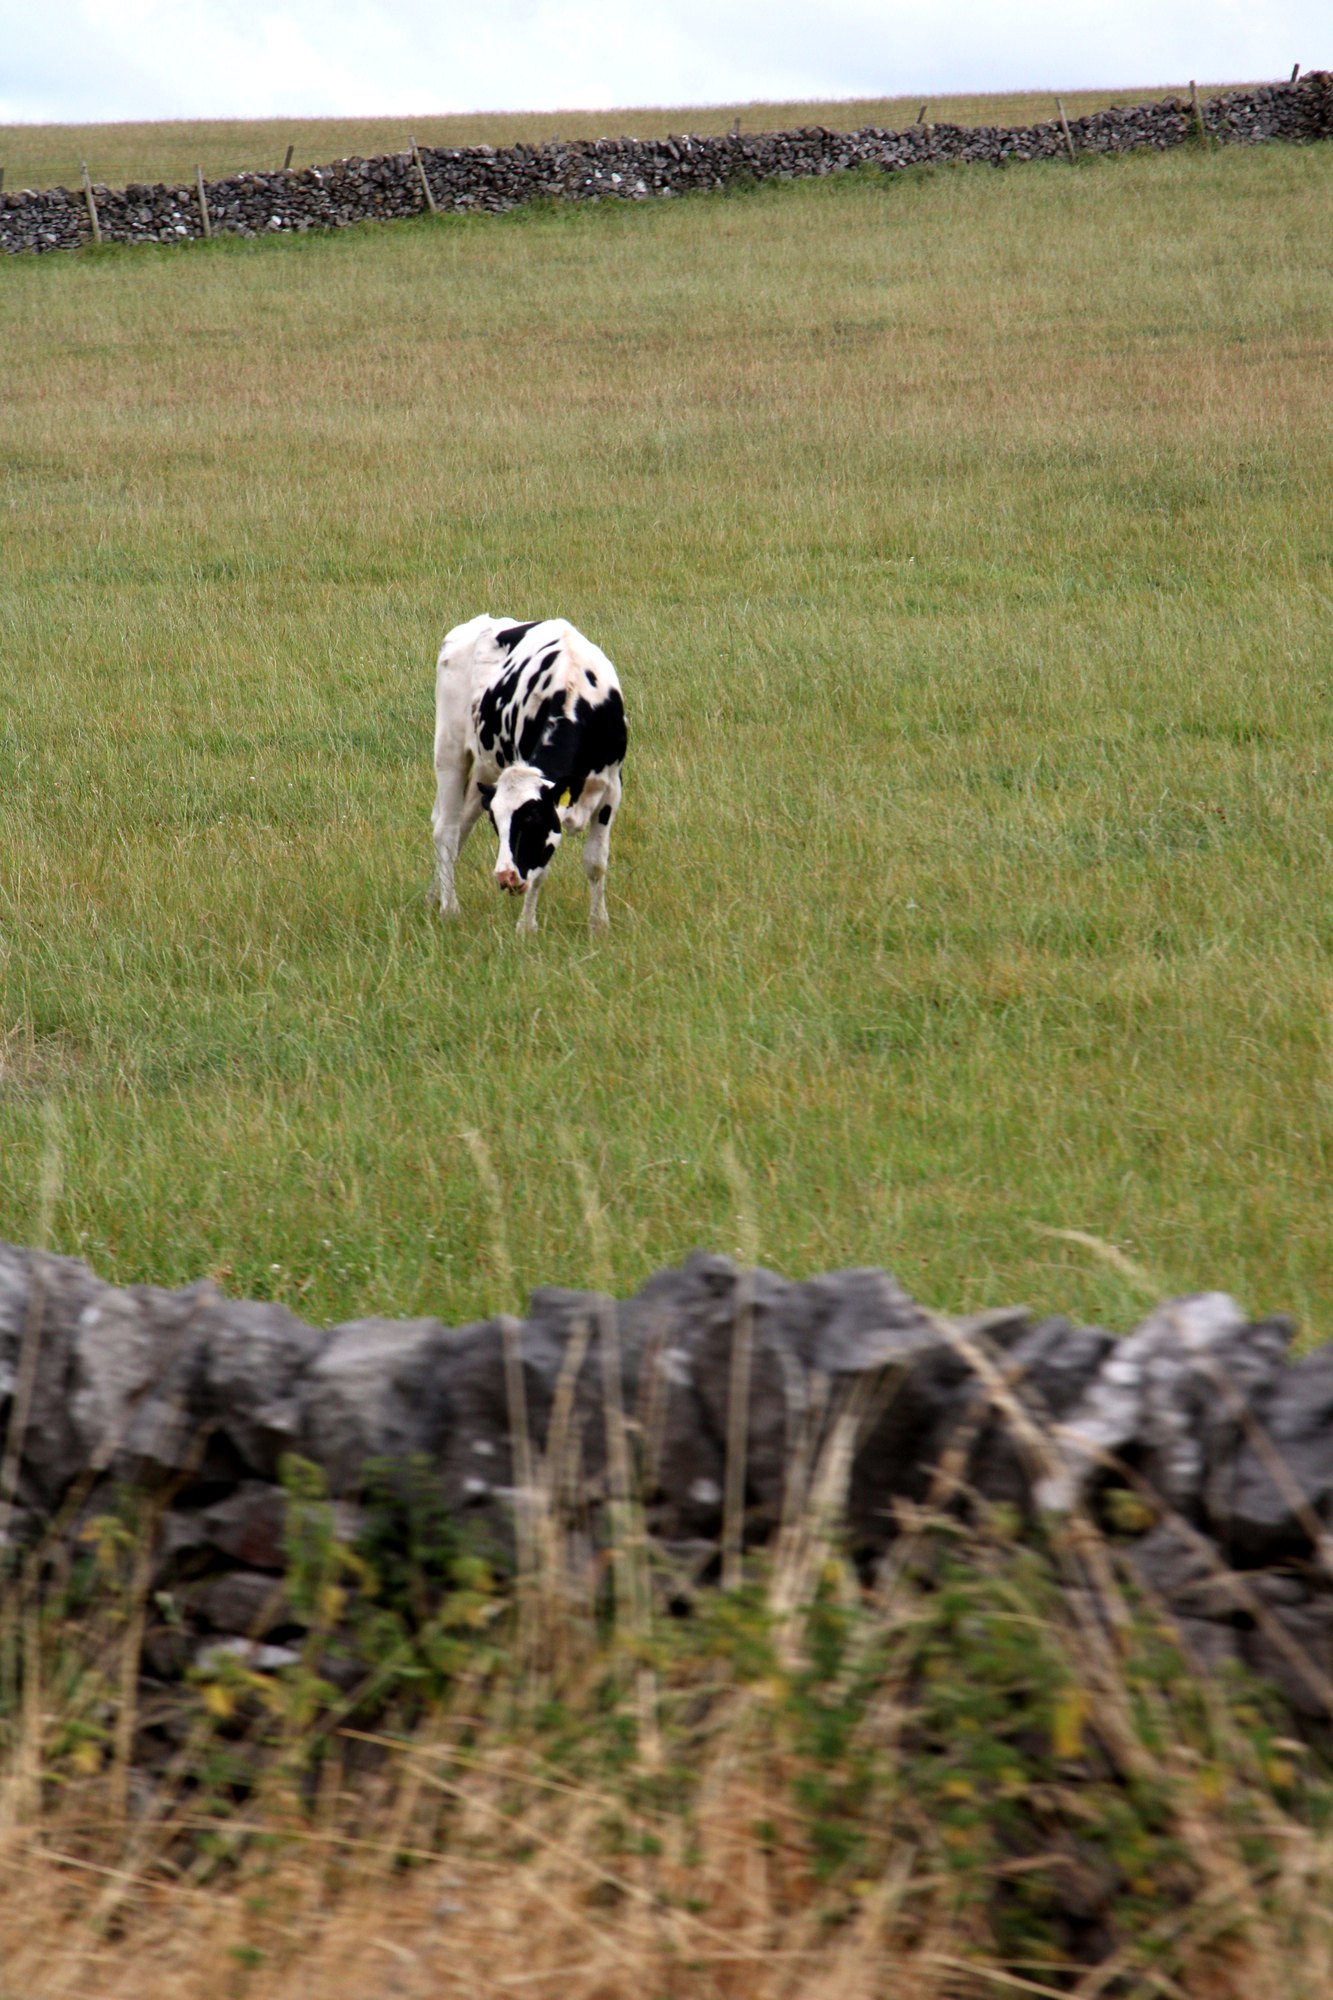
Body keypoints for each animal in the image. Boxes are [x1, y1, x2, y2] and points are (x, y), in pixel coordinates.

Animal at [432, 614, 628, 934]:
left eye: (532, 818)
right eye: (496, 823)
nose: (506, 877)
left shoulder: (611, 788)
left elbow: (596, 861)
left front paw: (599, 925)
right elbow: (540, 870)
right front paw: (526, 927)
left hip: (485, 769)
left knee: (462, 826)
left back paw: (433, 897)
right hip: (450, 749)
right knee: (446, 829)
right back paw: (449, 908)